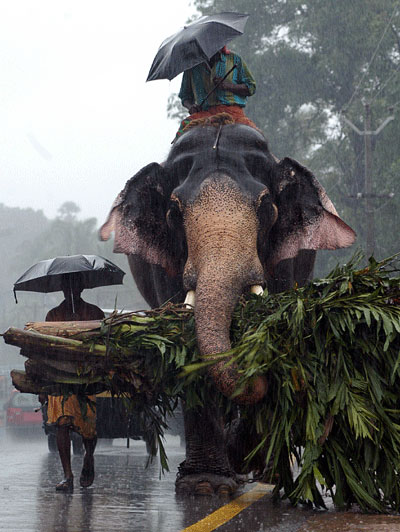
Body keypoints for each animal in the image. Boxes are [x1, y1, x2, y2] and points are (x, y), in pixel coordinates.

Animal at [100, 117, 356, 495]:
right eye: (173, 212)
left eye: (266, 207)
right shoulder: (166, 268)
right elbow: (186, 346)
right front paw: (206, 485)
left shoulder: (284, 261)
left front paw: (245, 461)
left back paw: (265, 472)